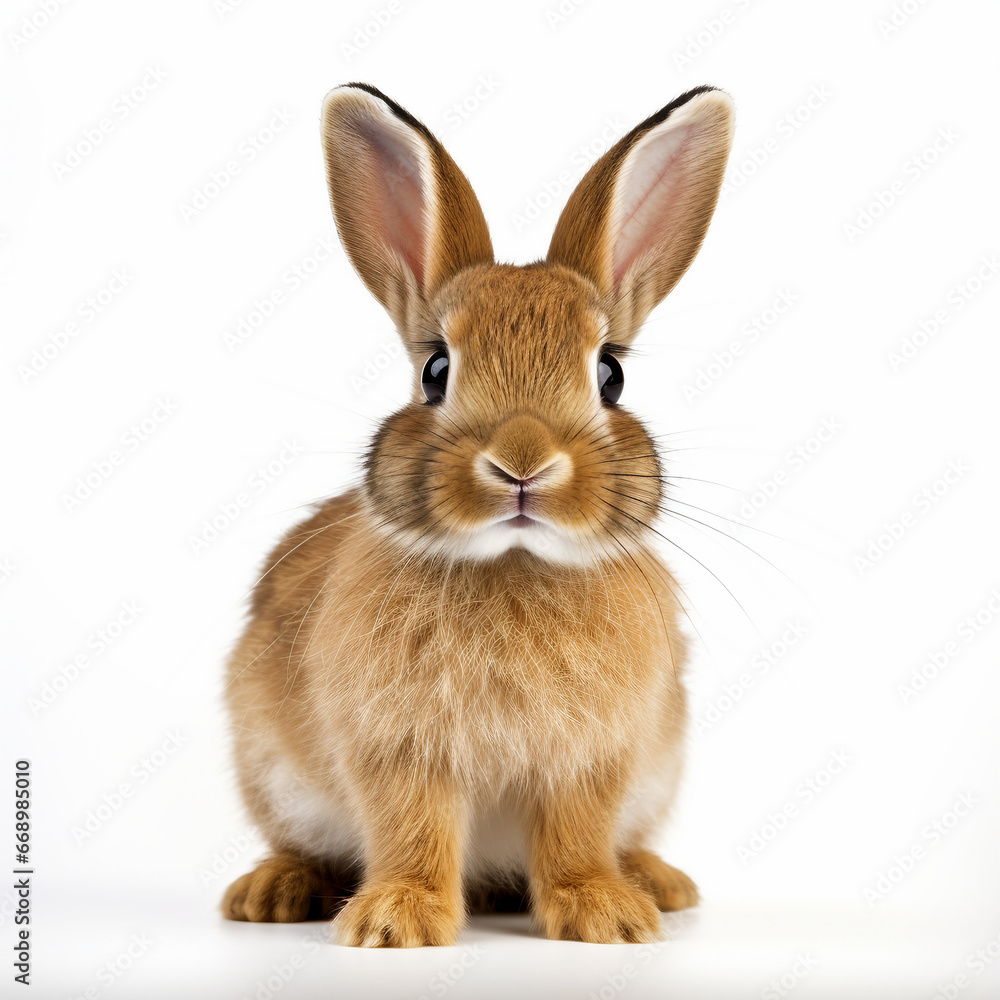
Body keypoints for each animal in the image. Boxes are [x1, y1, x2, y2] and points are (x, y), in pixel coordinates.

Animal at [220, 82, 734, 947]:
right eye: (435, 370)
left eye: (610, 375)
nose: (522, 463)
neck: (513, 561)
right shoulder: (399, 749)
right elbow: (412, 828)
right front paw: (395, 923)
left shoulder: (592, 756)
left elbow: (577, 834)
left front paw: (605, 916)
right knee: (302, 844)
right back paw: (271, 892)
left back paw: (659, 883)